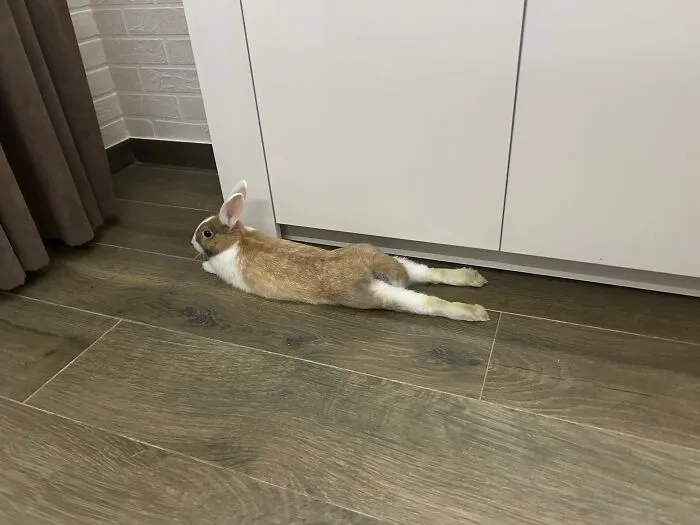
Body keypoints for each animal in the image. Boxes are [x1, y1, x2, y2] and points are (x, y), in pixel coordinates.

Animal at [191, 180, 490, 322]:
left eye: (206, 233)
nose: (191, 240)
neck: (237, 238)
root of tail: (368, 266)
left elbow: (211, 266)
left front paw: (203, 264)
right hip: (395, 263)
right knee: (428, 272)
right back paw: (473, 278)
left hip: (371, 296)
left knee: (428, 303)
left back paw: (476, 313)